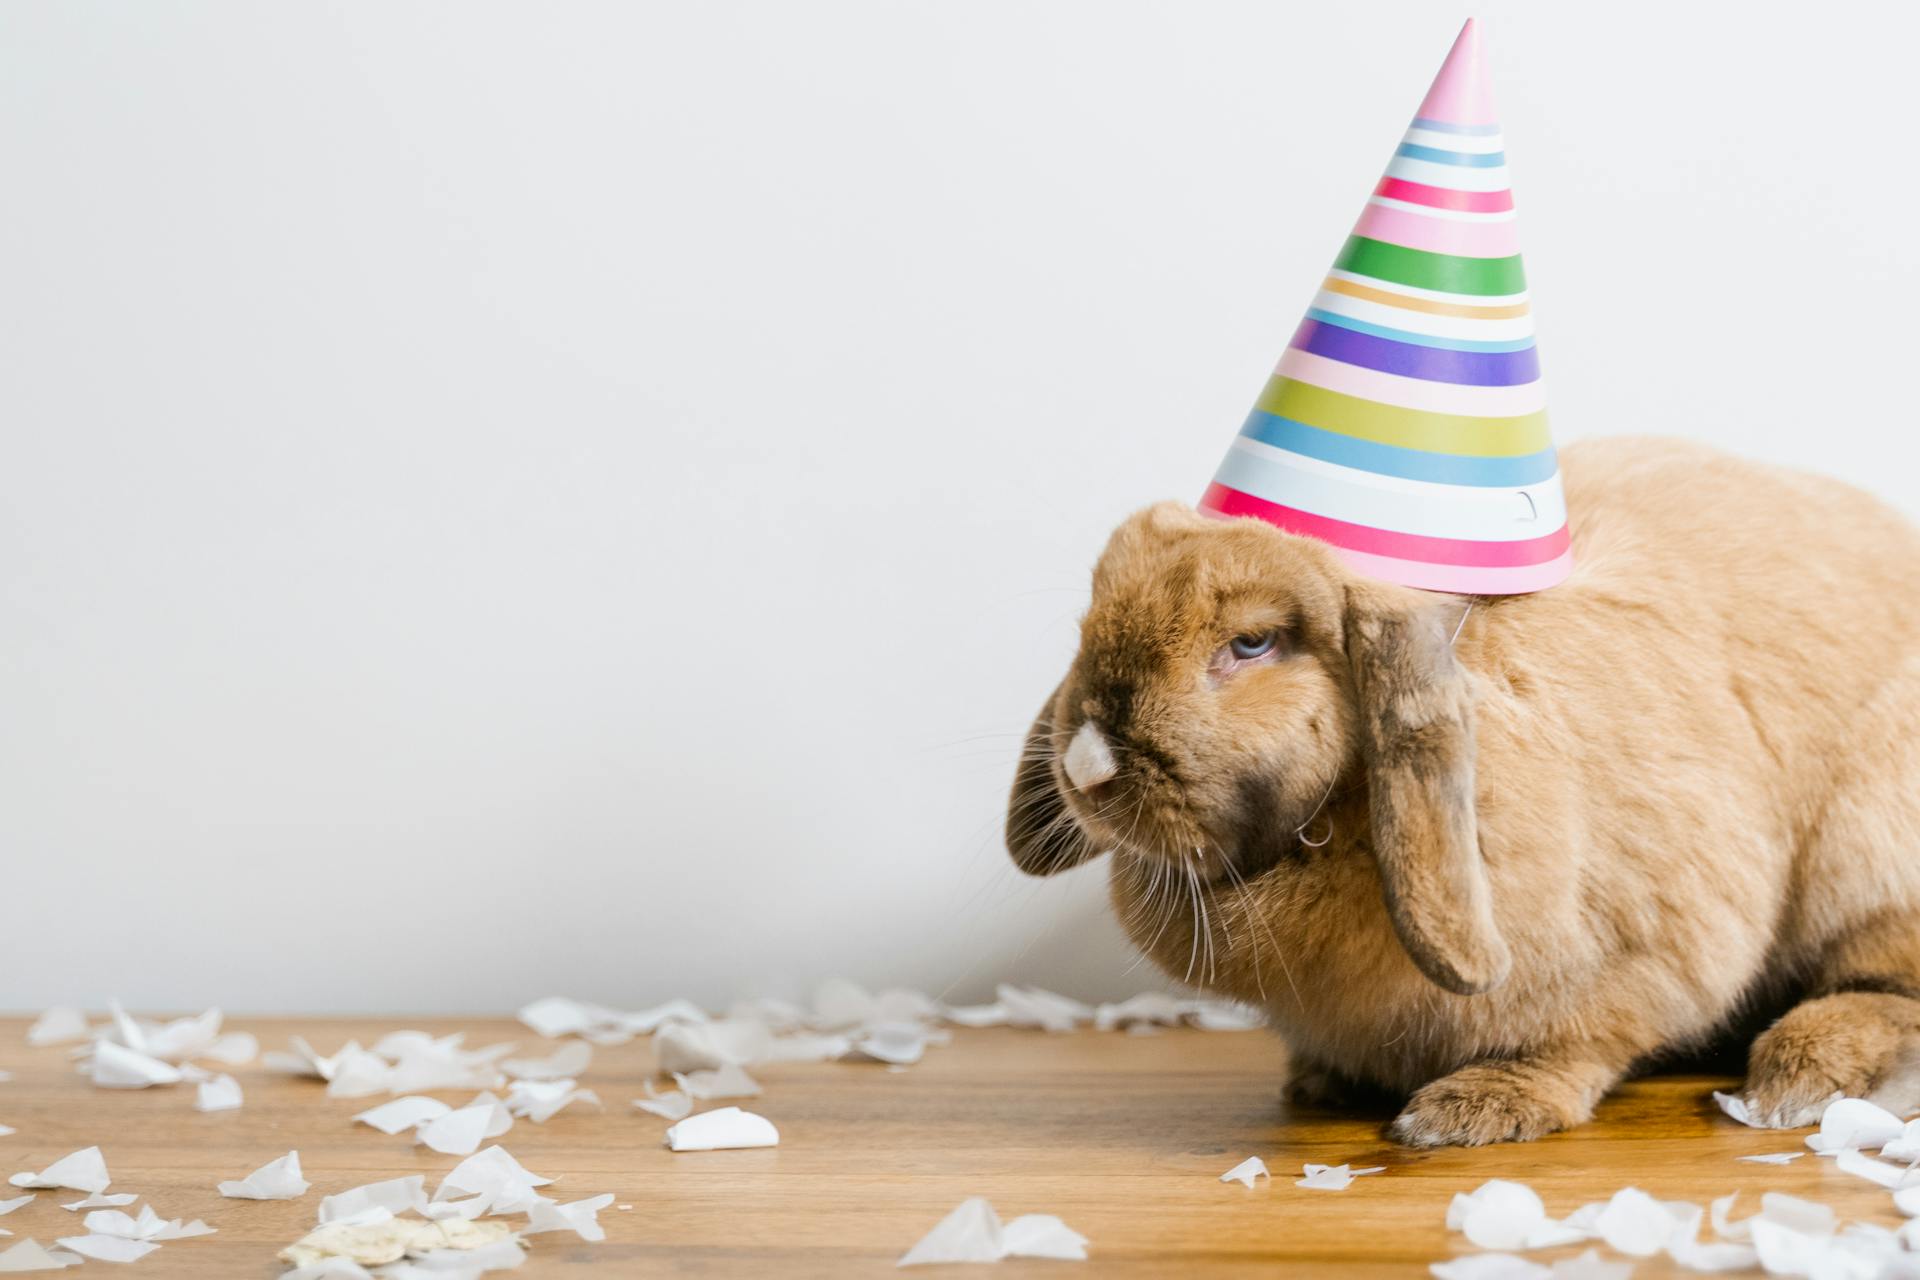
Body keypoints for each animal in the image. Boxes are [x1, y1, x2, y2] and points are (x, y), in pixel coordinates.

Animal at [1006, 435, 1920, 1143]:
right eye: (1093, 616)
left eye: (1253, 643)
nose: (1084, 765)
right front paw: (1322, 1081)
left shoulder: (1652, 949)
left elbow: (1579, 1041)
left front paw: (1469, 1110)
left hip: (1867, 859)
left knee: (1887, 990)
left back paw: (1793, 1080)